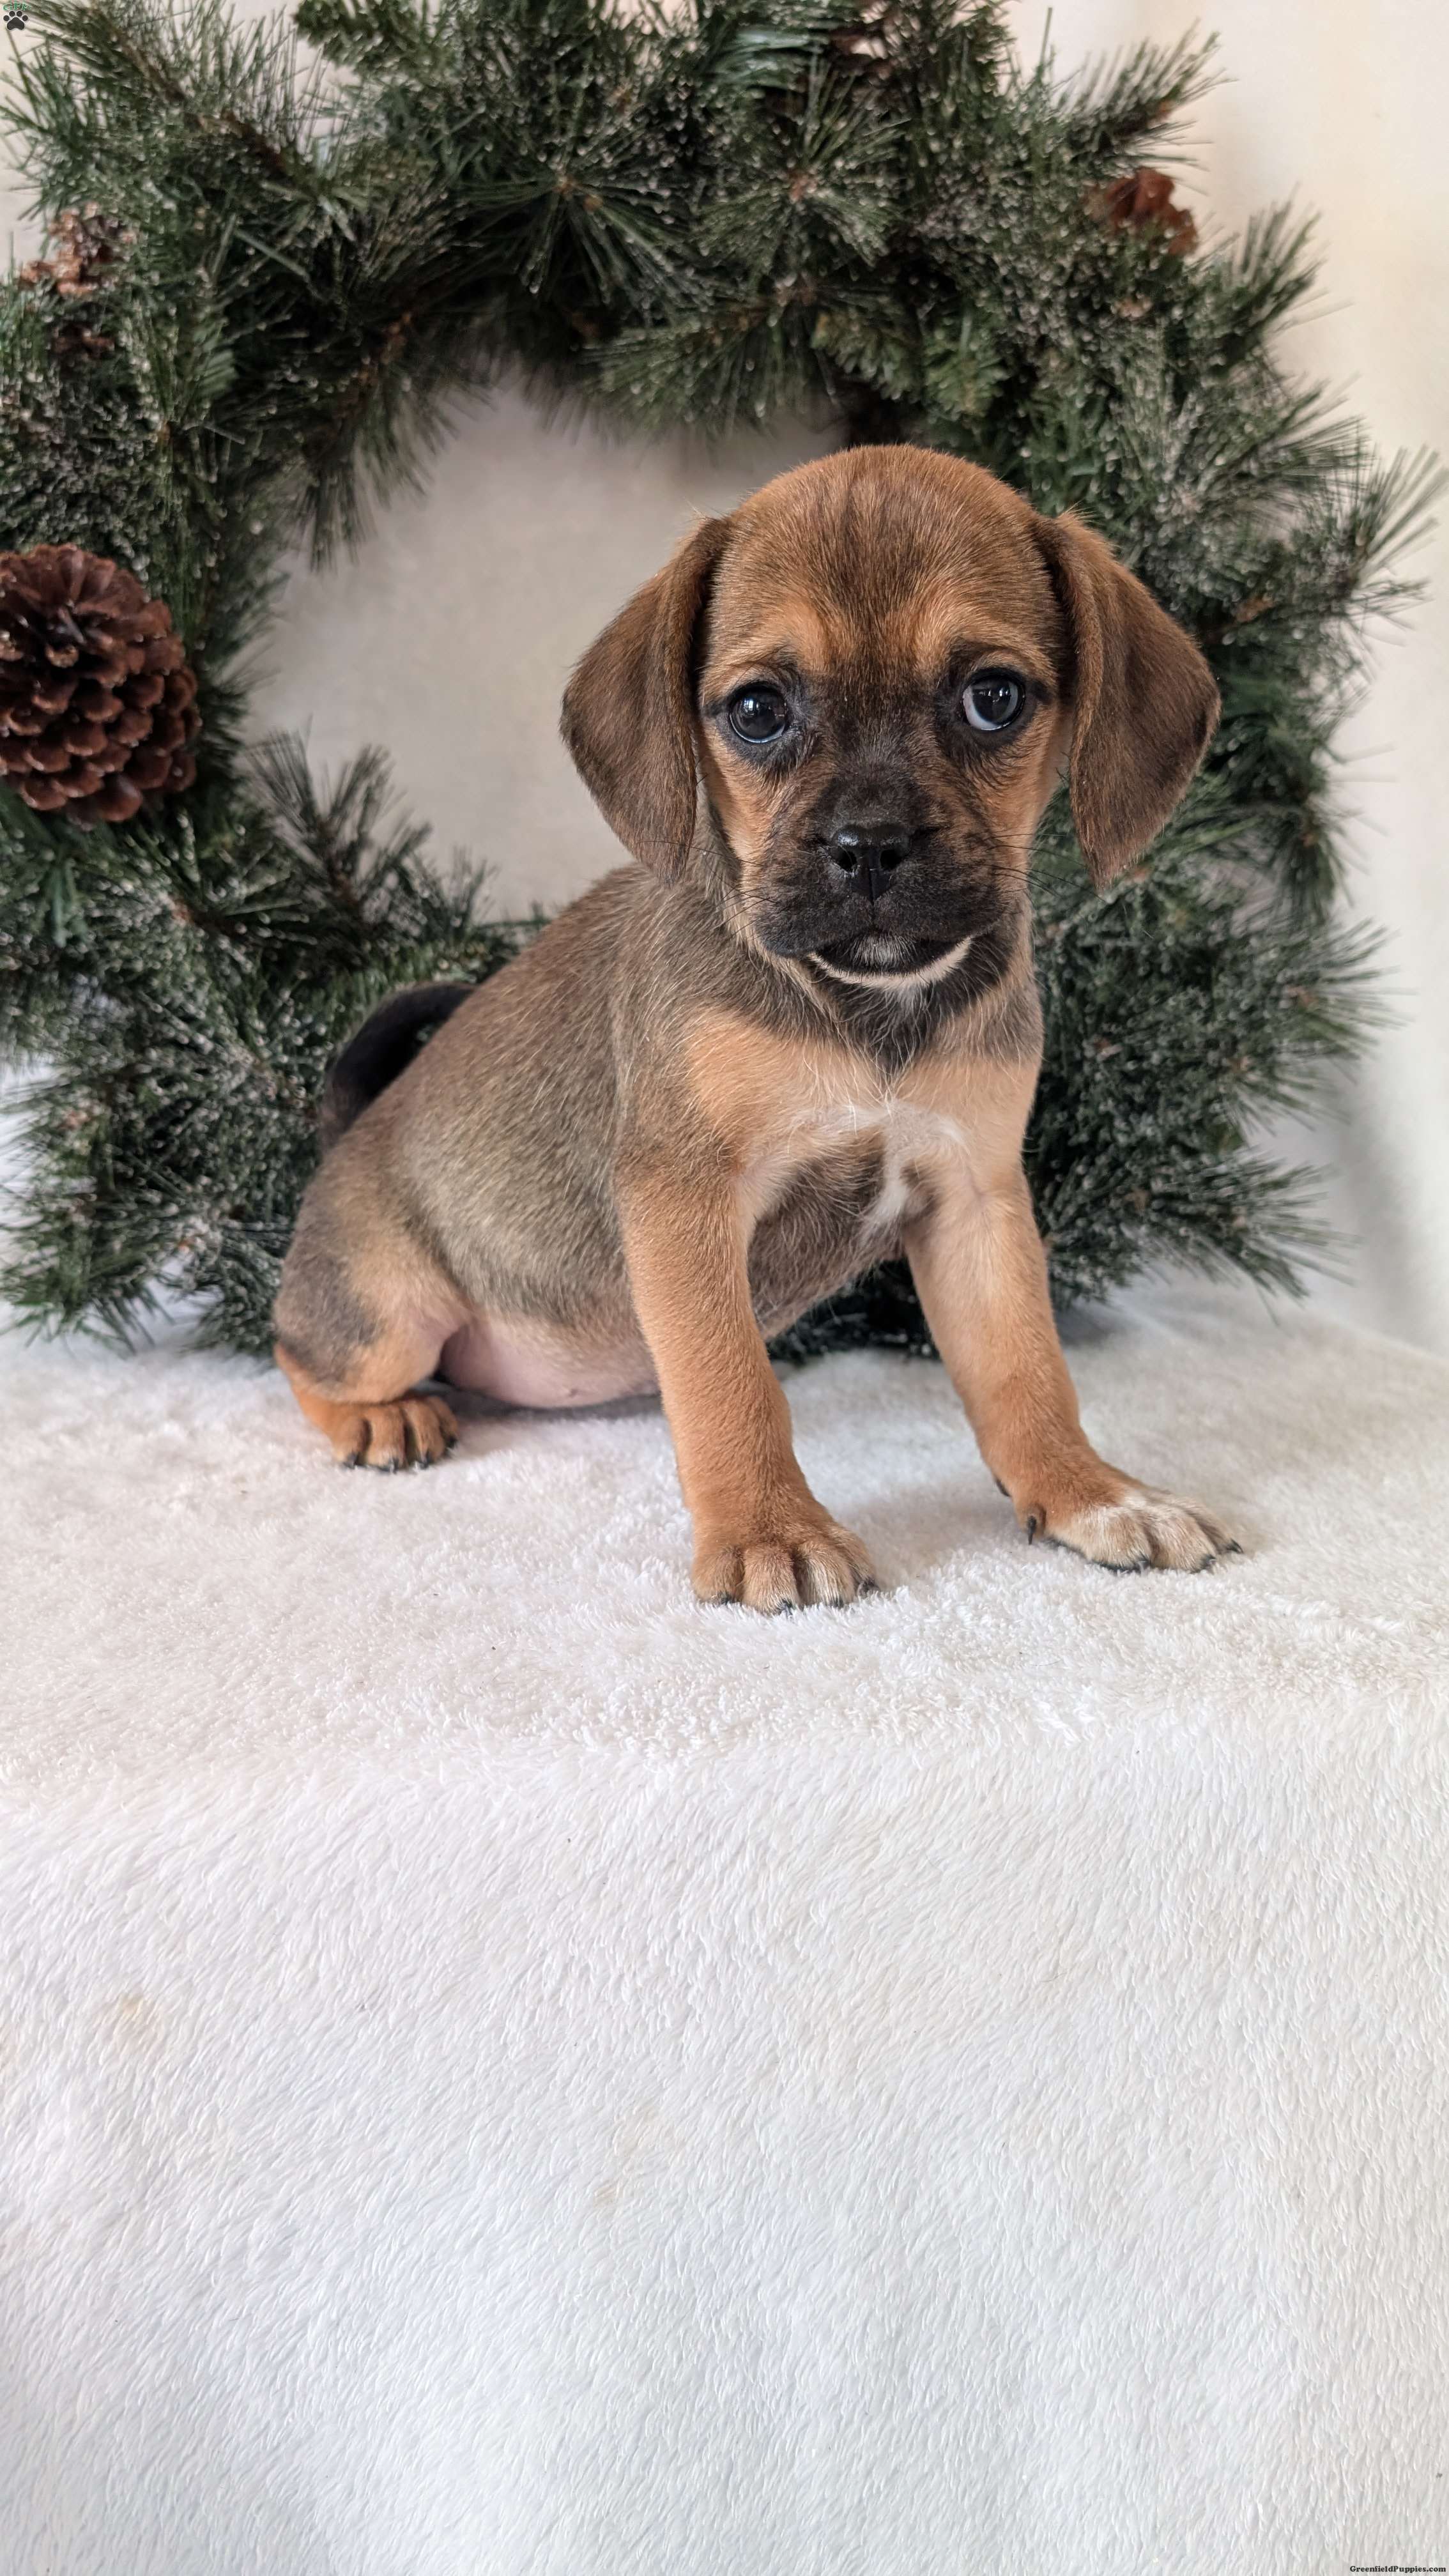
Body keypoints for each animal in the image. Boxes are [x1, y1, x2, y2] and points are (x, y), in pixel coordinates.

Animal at [274, 444, 1237, 1611]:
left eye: (994, 697)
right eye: (758, 709)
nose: (868, 845)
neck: (864, 1011)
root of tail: (345, 1139)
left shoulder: (976, 1198)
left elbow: (1026, 1371)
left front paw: (1090, 1492)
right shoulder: (685, 1200)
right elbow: (731, 1382)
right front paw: (769, 1528)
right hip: (386, 1310)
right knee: (300, 1356)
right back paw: (377, 1417)